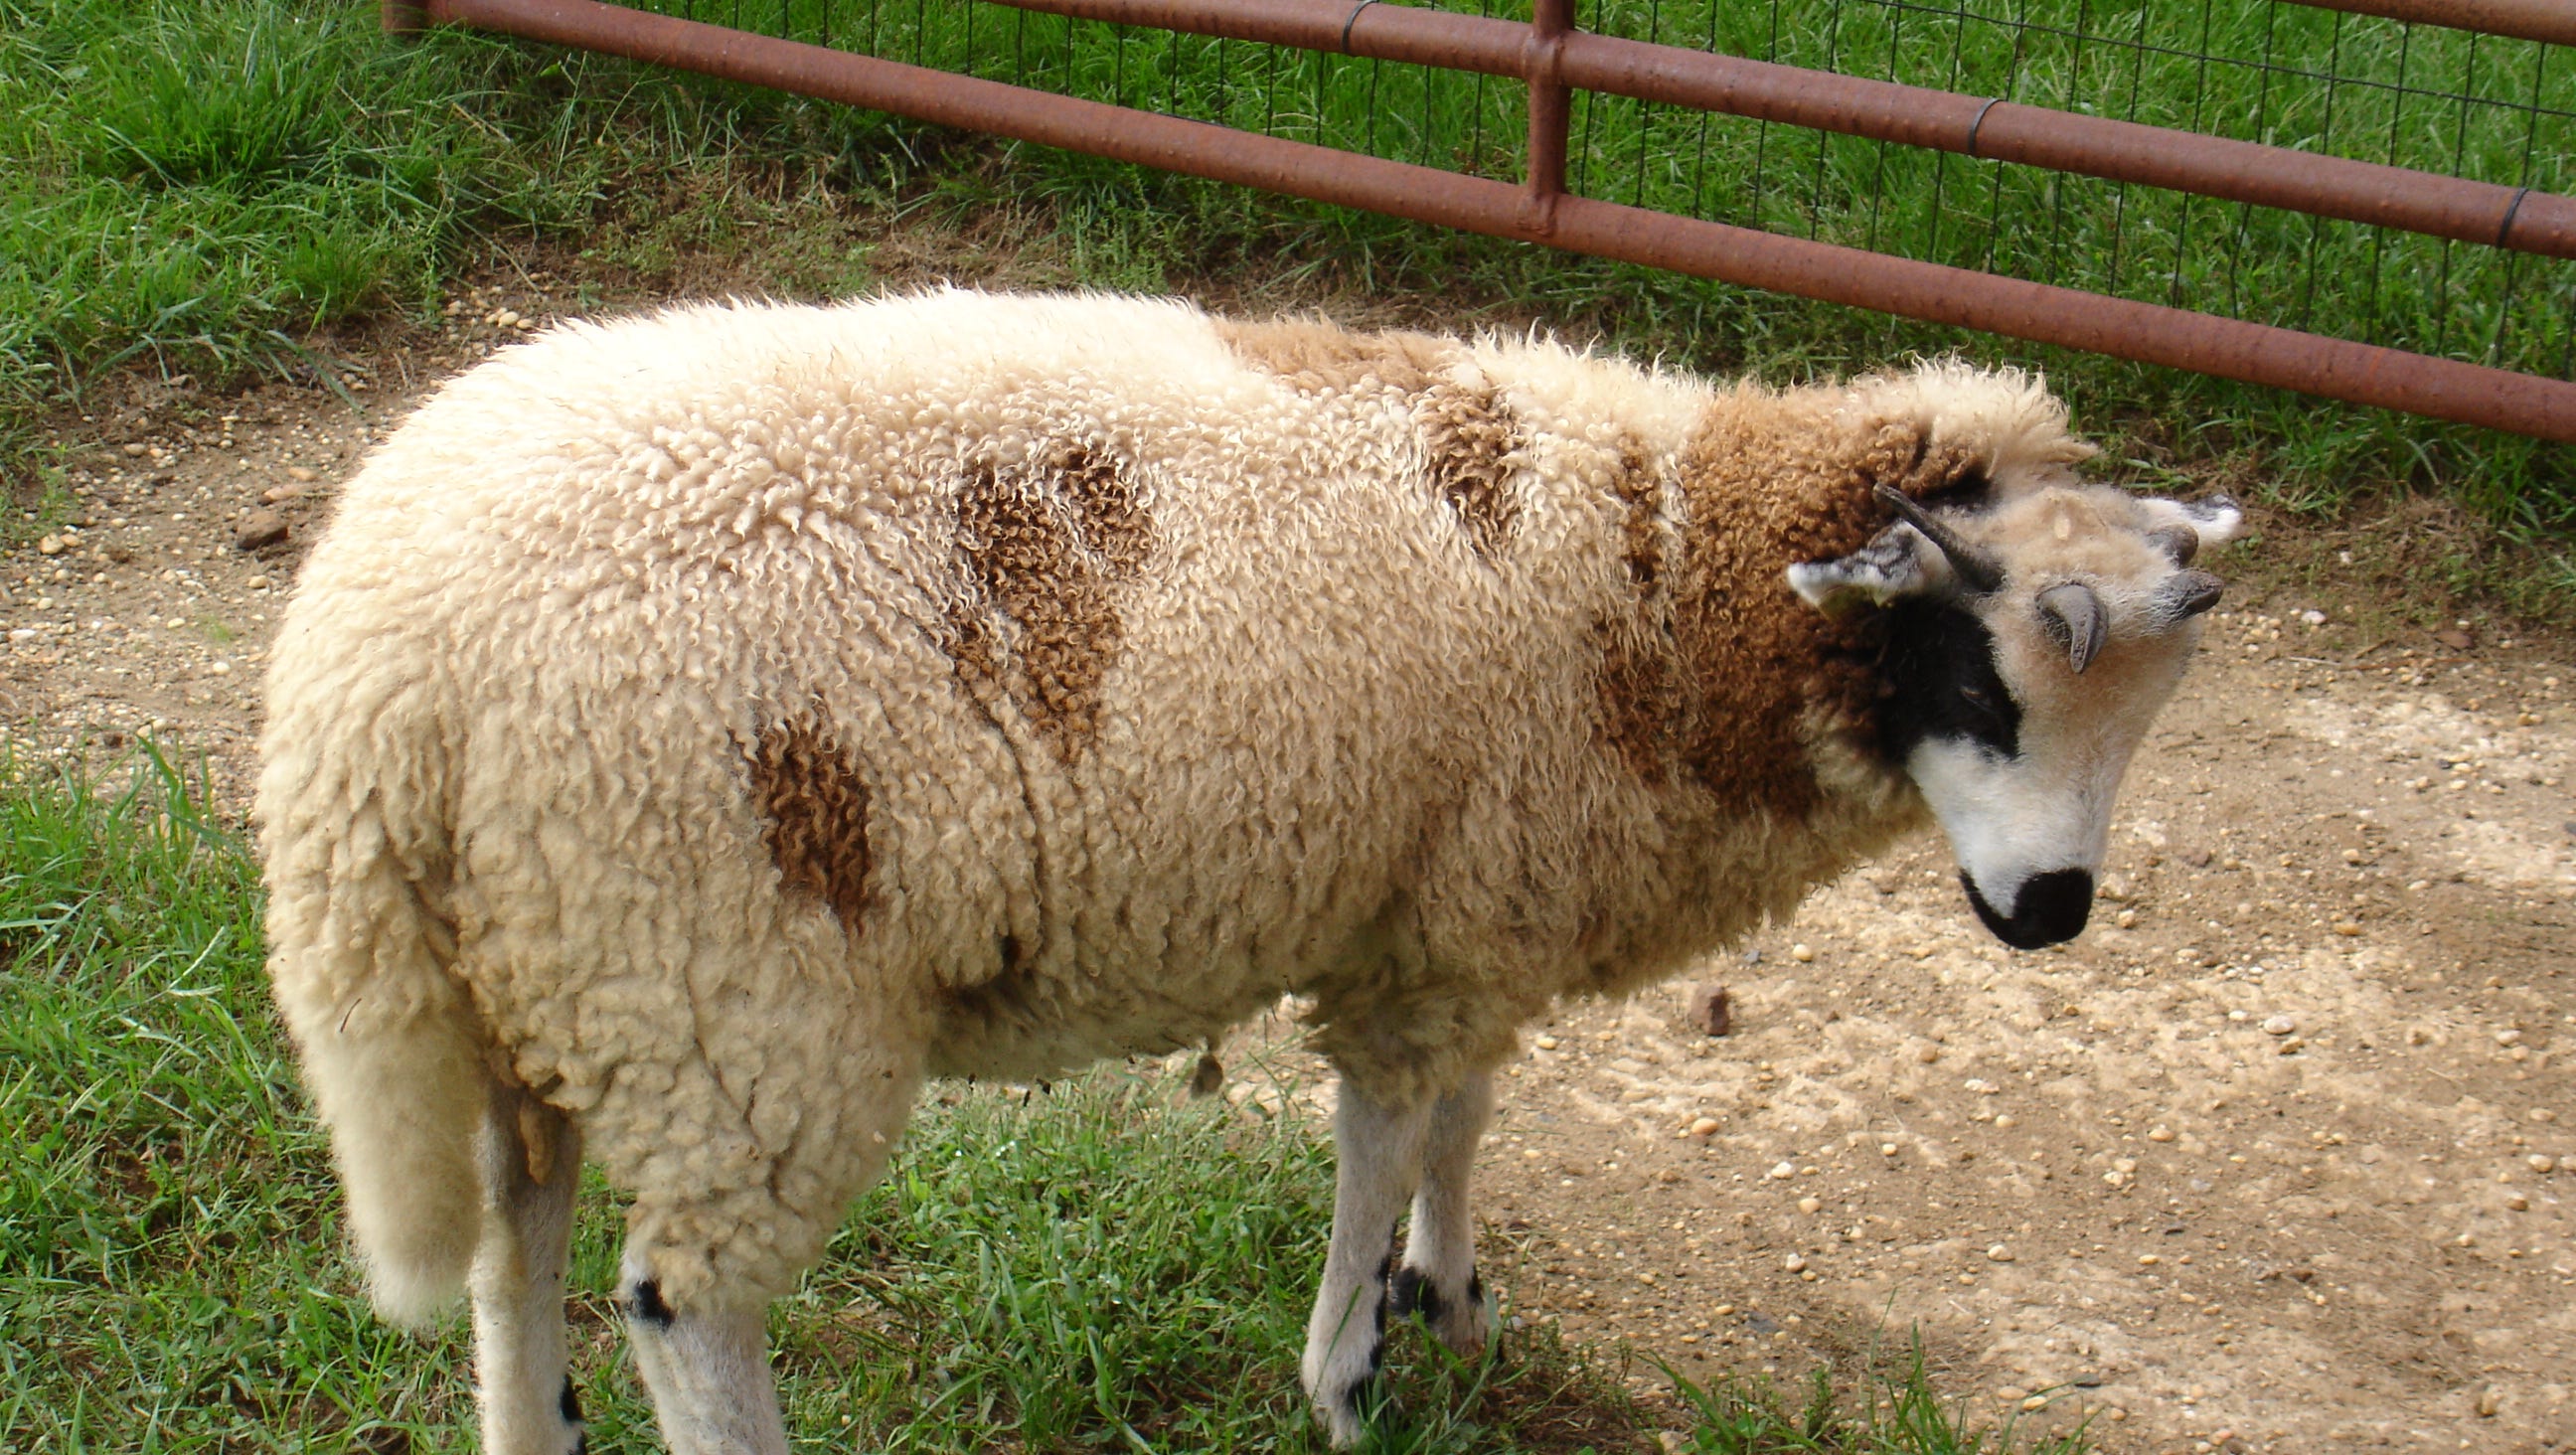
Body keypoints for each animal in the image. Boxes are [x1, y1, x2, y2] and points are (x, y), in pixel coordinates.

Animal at [256, 288, 2241, 1454]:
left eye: (2145, 716)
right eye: (1976, 678)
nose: (2052, 911)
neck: (1651, 583)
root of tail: (367, 671)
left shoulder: (1473, 908)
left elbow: (1464, 1118)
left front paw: (1454, 1299)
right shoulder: (1435, 930)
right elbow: (1384, 1136)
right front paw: (1350, 1372)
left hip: (550, 970)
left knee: (516, 1236)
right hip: (734, 992)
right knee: (684, 1302)